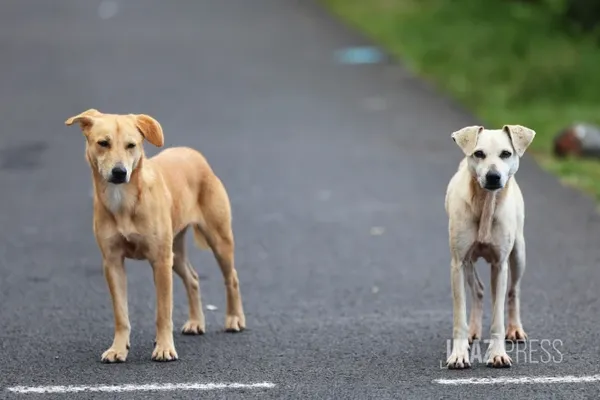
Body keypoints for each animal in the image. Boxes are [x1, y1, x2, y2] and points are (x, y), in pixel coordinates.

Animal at [64, 108, 245, 362]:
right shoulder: (113, 262)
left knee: (232, 277)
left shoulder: (160, 261)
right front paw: (118, 348)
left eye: (131, 145)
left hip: (217, 240)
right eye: (103, 143)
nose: (119, 172)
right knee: (193, 279)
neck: (123, 201)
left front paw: (164, 348)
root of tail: (194, 154)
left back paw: (234, 319)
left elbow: (163, 312)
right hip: (175, 253)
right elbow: (121, 314)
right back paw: (196, 322)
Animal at [446, 125, 536, 368]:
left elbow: (498, 314)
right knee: (477, 289)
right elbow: (459, 312)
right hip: (468, 262)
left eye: (506, 153)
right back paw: (473, 330)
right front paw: (459, 354)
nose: (493, 176)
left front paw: (497, 354)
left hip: (519, 253)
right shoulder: (457, 263)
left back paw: (515, 329)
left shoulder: (500, 264)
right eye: (479, 153)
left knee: (514, 291)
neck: (485, 204)